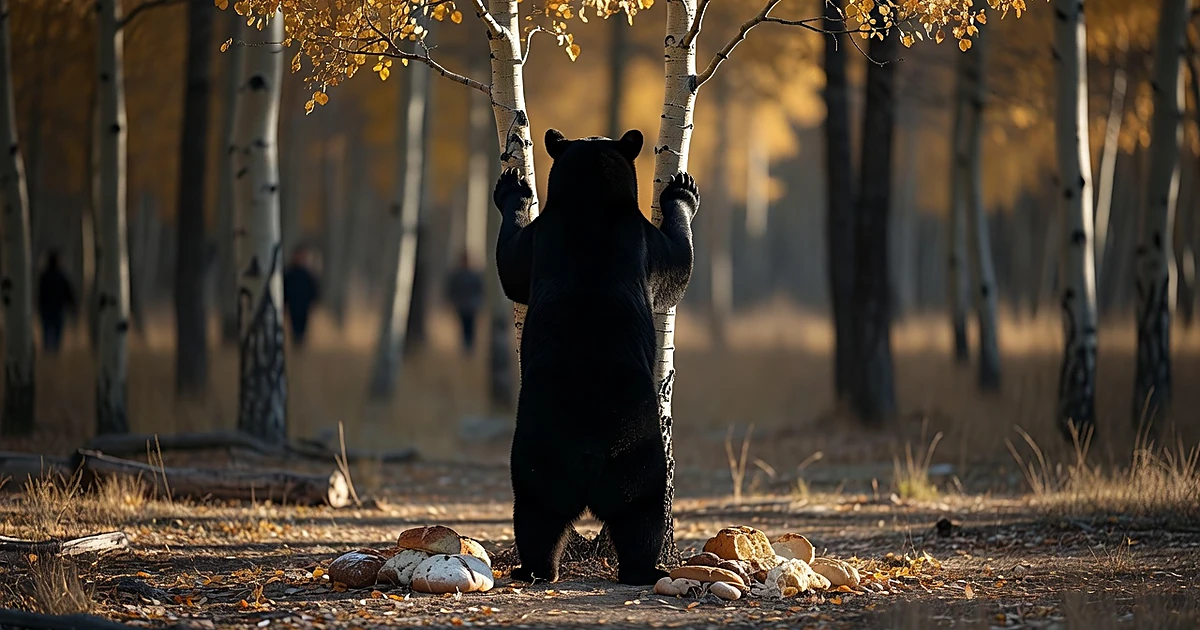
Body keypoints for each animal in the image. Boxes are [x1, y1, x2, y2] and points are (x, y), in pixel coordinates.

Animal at [492, 128, 699, 586]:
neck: (590, 202)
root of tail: (587, 450)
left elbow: (511, 265)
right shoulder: (635, 239)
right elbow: (679, 265)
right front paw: (683, 190)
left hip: (545, 457)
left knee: (541, 514)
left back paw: (536, 569)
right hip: (628, 454)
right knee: (639, 513)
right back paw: (638, 568)